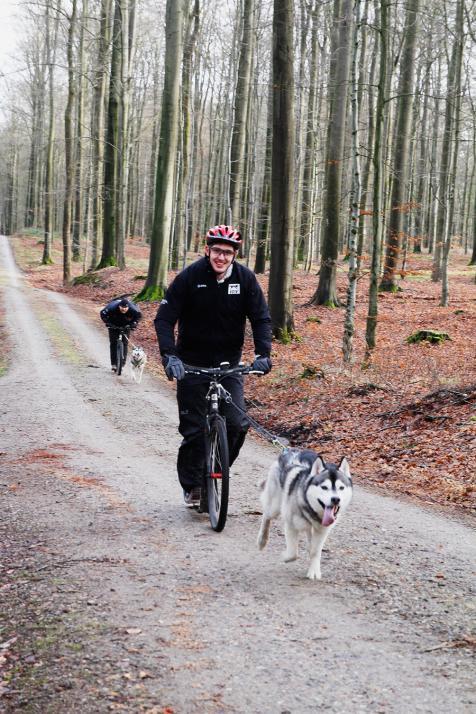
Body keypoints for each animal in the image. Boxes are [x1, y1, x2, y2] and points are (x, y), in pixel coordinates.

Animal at [256, 448, 354, 580]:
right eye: (324, 487)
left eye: (341, 488)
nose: (335, 499)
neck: (310, 509)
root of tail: (289, 450)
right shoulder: (291, 525)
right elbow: (293, 553)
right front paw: (284, 557)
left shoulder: (322, 531)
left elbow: (315, 551)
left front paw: (314, 570)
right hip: (274, 506)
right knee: (266, 515)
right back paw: (262, 540)